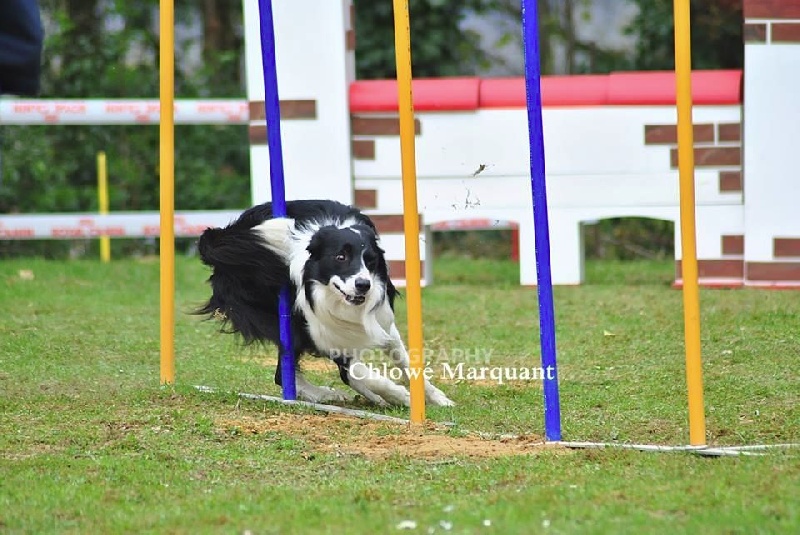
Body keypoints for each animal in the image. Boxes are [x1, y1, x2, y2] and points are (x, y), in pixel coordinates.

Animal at [196, 200, 454, 406]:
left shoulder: (382, 324)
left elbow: (406, 363)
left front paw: (436, 398)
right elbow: (356, 371)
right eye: (341, 257)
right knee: (285, 374)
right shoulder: (325, 334)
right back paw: (326, 395)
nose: (363, 285)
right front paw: (401, 395)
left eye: (370, 261)